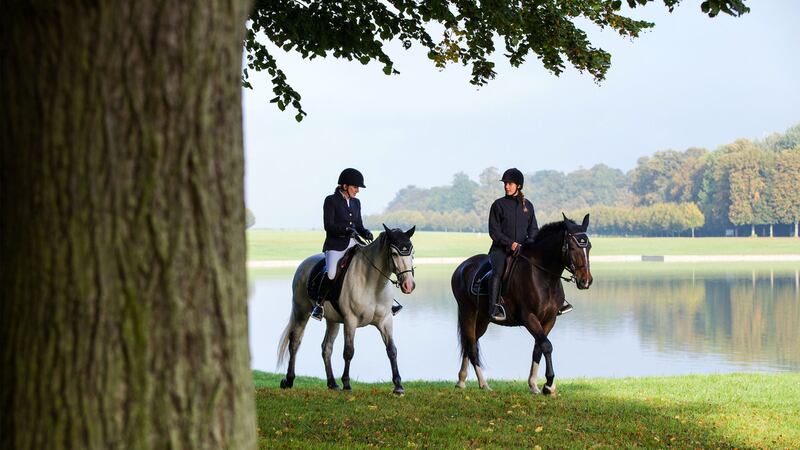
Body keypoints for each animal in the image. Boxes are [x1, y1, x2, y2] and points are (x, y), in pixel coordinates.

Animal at [276, 225, 416, 394]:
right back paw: (289, 380)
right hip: (301, 311)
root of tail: (304, 264)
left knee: (326, 348)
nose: (409, 285)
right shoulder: (351, 320)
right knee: (295, 342)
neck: (373, 283)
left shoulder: (385, 320)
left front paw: (398, 386)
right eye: (394, 253)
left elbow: (392, 350)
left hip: (333, 321)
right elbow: (349, 351)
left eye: (412, 253)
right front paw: (347, 384)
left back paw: (332, 383)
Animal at [454, 214, 592, 394]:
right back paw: (483, 384)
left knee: (471, 342)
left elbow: (538, 348)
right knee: (471, 345)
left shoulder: (549, 320)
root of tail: (462, 267)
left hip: (483, 318)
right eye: (573, 247)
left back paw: (462, 380)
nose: (586, 281)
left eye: (589, 247)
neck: (543, 276)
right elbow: (547, 346)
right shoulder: (529, 317)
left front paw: (534, 384)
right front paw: (549, 384)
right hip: (467, 311)